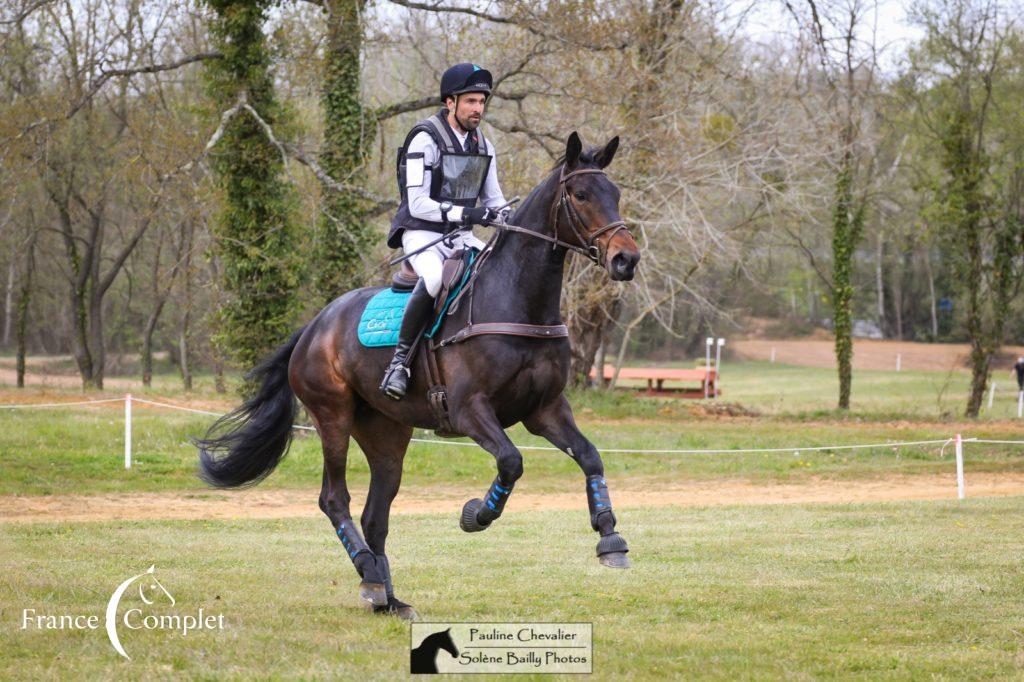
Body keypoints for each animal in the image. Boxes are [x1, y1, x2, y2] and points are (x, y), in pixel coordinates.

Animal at [197, 130, 638, 618]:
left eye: (615, 194)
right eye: (580, 195)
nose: (626, 260)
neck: (517, 301)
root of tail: (314, 327)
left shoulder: (545, 410)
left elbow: (590, 457)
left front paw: (610, 538)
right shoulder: (469, 412)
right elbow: (511, 461)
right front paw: (476, 515)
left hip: (387, 433)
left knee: (375, 514)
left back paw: (386, 597)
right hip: (332, 416)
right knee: (334, 498)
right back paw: (369, 575)